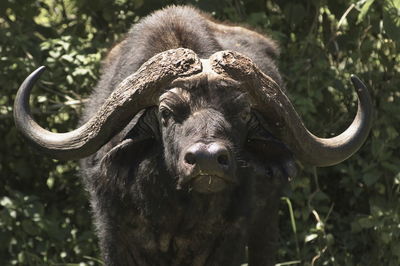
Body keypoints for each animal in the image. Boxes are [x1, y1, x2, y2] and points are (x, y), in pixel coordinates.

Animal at [14, 4, 372, 266]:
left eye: (243, 113)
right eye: (165, 113)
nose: (207, 160)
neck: (174, 211)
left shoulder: (230, 239)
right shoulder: (114, 237)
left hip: (266, 224)